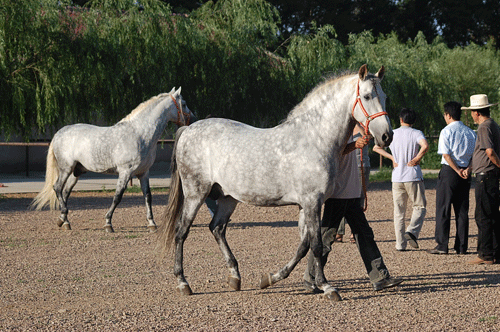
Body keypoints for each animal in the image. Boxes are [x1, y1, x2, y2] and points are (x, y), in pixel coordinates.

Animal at [30, 88, 196, 233]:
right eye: (184, 103)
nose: (193, 119)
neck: (139, 134)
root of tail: (60, 132)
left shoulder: (143, 173)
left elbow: (148, 197)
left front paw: (152, 224)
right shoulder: (125, 172)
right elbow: (117, 197)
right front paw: (108, 223)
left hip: (75, 172)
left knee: (65, 192)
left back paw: (64, 221)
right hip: (66, 169)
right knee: (57, 188)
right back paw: (63, 217)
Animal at [158, 65, 392, 300]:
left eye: (384, 97)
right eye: (367, 96)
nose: (386, 136)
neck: (315, 138)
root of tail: (187, 130)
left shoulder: (306, 206)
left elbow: (303, 246)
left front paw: (271, 278)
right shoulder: (312, 202)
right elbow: (317, 245)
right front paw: (327, 287)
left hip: (227, 198)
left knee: (217, 228)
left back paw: (234, 277)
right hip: (195, 194)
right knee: (181, 232)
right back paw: (183, 283)